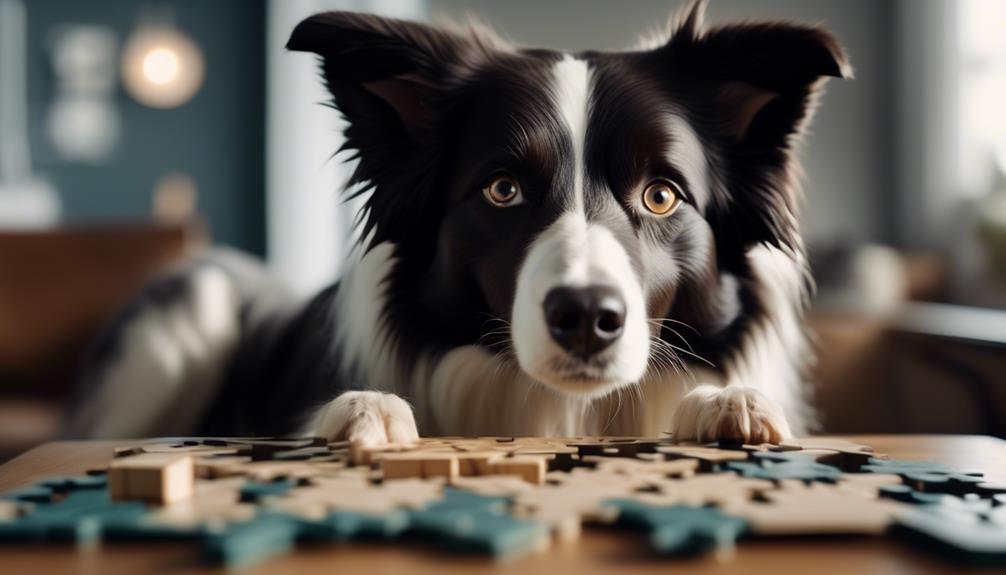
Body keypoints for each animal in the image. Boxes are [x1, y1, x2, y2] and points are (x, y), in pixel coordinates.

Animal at [66, 0, 849, 446]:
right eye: (502, 189)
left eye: (661, 196)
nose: (586, 318)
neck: (563, 411)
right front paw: (365, 410)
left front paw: (726, 399)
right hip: (185, 318)